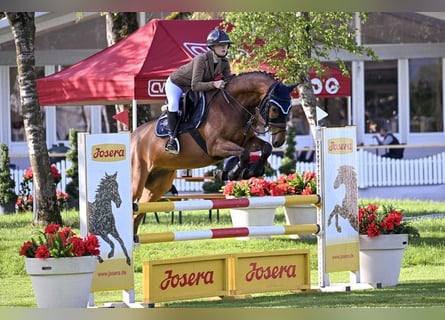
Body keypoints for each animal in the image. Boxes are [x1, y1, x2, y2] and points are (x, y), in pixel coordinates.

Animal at [132, 71, 298, 234]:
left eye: (290, 108)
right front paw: (231, 173)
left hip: (158, 185)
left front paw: (251, 171)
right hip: (138, 179)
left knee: (138, 211)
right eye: (275, 109)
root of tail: (133, 136)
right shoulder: (215, 146)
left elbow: (265, 148)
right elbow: (243, 154)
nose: (279, 141)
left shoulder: (246, 141)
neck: (233, 105)